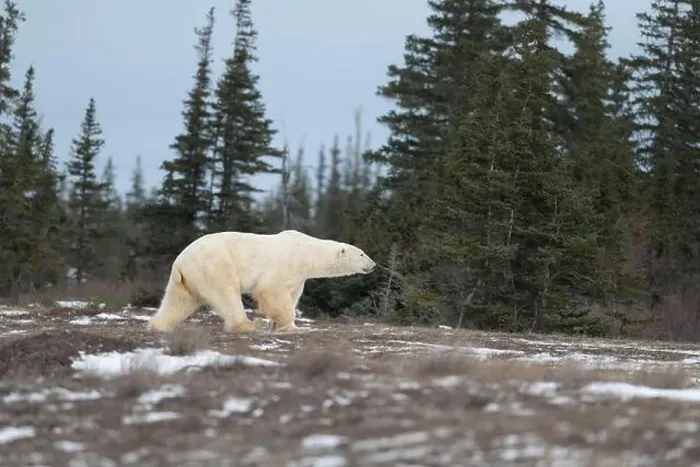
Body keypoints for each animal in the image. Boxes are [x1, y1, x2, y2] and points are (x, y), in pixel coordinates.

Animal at [147, 229, 376, 334]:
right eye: (362, 254)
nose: (373, 265)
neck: (306, 252)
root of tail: (179, 262)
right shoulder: (284, 264)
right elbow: (271, 290)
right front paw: (284, 324)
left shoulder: (298, 276)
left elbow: (292, 295)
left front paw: (285, 324)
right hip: (215, 265)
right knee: (227, 294)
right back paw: (249, 325)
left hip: (187, 279)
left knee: (178, 301)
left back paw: (158, 326)